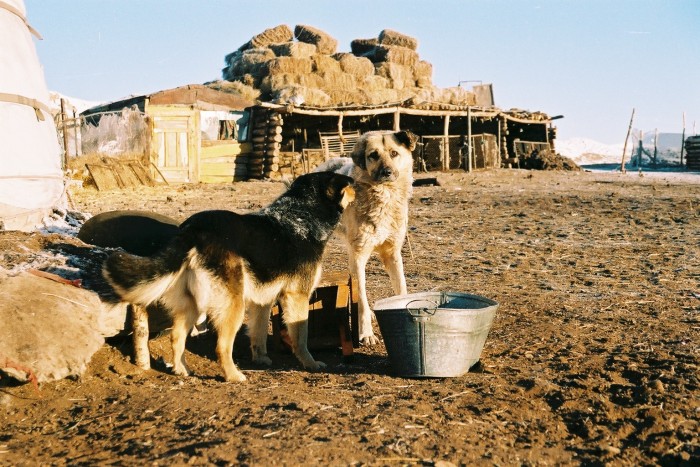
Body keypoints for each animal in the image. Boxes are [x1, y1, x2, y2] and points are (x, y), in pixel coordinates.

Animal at [102, 173, 356, 384]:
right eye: (350, 185)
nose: (359, 187)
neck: (301, 215)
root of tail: (193, 229)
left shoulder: (262, 301)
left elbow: (259, 334)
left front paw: (261, 359)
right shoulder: (297, 296)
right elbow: (301, 336)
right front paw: (310, 363)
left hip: (193, 305)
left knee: (176, 337)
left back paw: (182, 370)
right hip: (233, 305)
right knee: (221, 347)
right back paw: (233, 376)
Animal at [318, 130, 416, 346]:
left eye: (394, 153)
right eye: (373, 155)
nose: (386, 172)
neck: (384, 197)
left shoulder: (392, 254)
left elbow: (402, 288)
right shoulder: (359, 255)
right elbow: (361, 297)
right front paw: (366, 333)